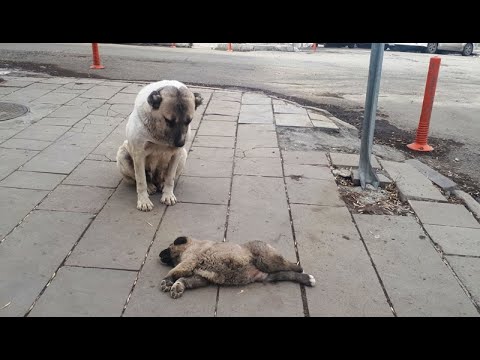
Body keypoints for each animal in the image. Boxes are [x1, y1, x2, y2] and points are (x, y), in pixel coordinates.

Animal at [158, 236, 316, 298]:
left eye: (169, 247)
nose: (159, 254)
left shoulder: (190, 260)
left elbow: (175, 271)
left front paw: (167, 280)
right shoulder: (201, 277)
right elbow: (185, 279)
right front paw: (178, 286)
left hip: (267, 261)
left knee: (291, 266)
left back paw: (302, 270)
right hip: (269, 275)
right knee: (287, 273)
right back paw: (307, 279)